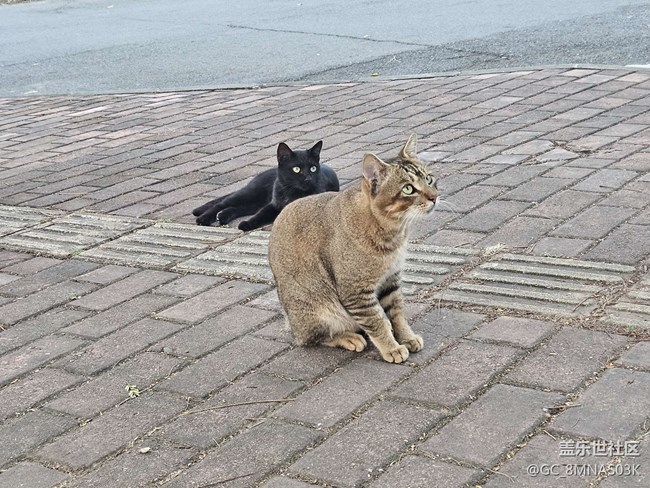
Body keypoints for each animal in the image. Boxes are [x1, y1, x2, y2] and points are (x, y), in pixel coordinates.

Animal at [192, 141, 339, 231]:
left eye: (313, 168)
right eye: (296, 169)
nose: (309, 178)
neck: (292, 194)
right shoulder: (273, 205)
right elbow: (261, 215)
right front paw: (247, 224)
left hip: (254, 203)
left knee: (237, 208)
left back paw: (223, 216)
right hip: (250, 193)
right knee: (222, 204)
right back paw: (203, 218)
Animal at [268, 134, 437, 364]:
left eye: (428, 179)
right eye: (408, 188)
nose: (434, 197)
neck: (392, 233)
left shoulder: (391, 280)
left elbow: (396, 314)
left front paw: (406, 337)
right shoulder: (356, 292)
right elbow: (377, 321)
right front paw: (391, 347)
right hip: (318, 308)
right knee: (312, 338)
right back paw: (347, 337)